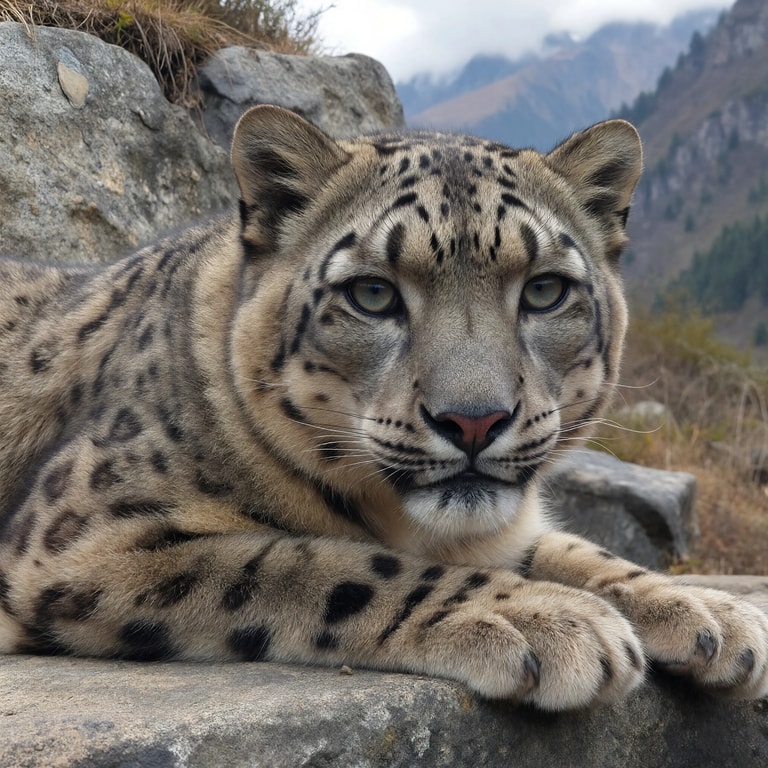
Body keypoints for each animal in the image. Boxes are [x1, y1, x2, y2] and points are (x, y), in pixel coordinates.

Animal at [1, 104, 766, 712]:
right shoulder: (86, 539)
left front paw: (708, 611)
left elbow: (572, 546)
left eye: (545, 290)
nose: (475, 420)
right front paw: (547, 617)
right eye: (372, 294)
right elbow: (317, 561)